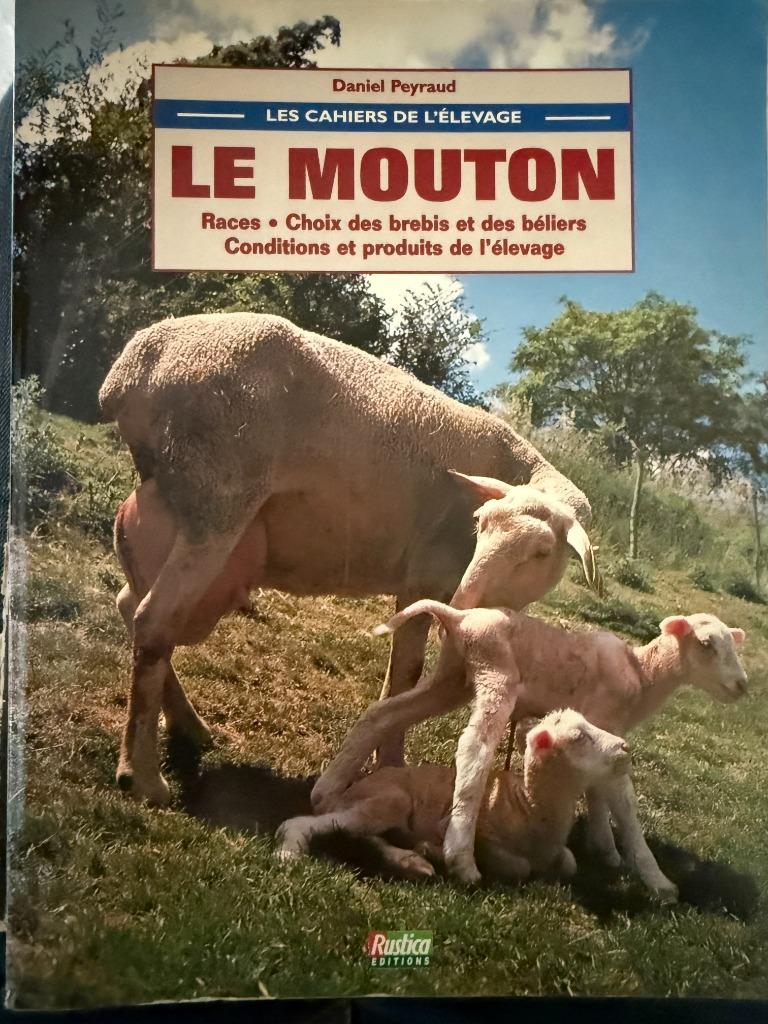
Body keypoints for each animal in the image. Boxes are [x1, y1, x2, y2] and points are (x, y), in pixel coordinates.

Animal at [99, 312, 599, 805]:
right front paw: (391, 765)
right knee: (154, 620)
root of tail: (134, 364)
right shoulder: (426, 579)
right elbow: (404, 676)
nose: (465, 600)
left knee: (132, 603)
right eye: (480, 523)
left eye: (541, 552)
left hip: (179, 510)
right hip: (218, 497)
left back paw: (187, 727)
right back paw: (140, 775)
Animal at [277, 708, 631, 884]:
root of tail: (356, 785)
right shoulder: (485, 836)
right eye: (579, 737)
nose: (625, 747)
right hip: (390, 799)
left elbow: (570, 863)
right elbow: (517, 868)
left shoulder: (558, 851)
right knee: (308, 824)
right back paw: (289, 850)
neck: (529, 806)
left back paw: (412, 859)